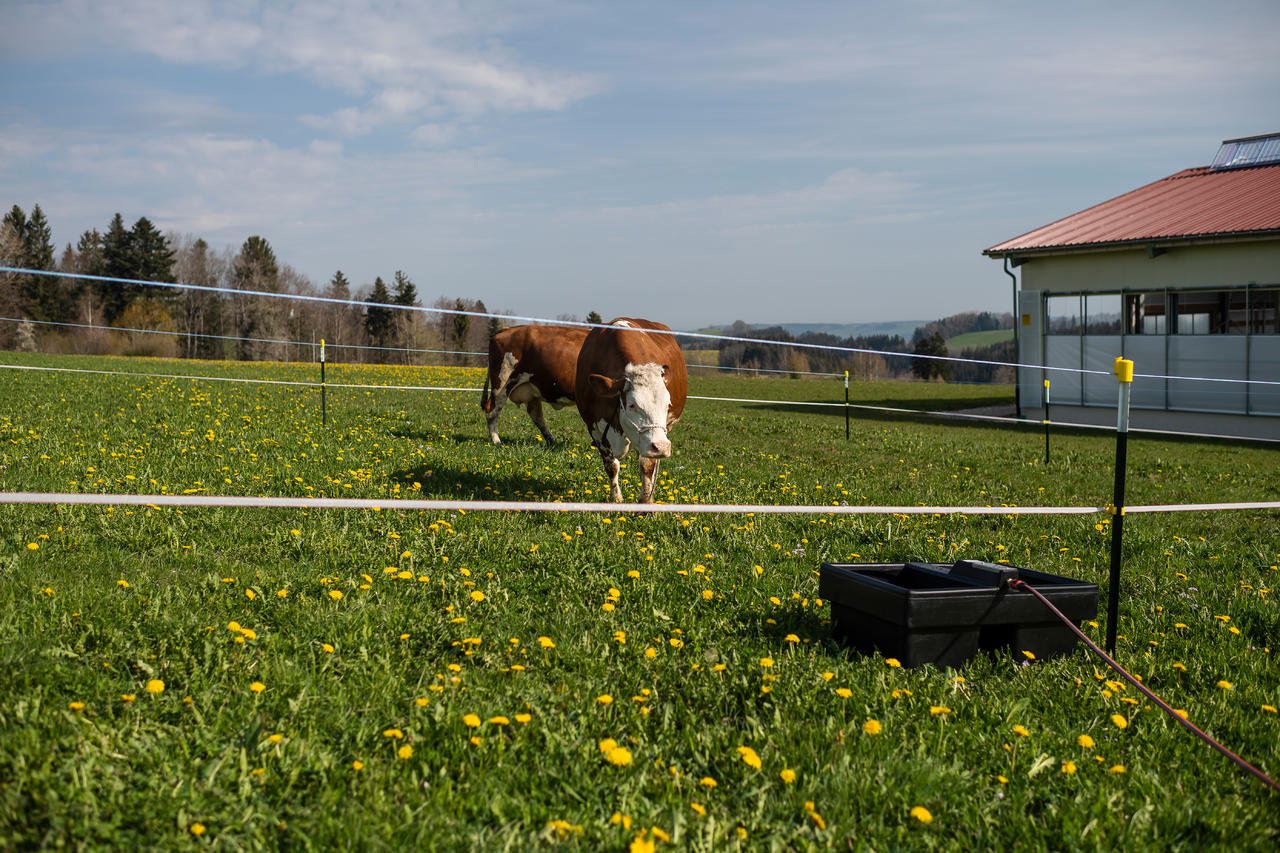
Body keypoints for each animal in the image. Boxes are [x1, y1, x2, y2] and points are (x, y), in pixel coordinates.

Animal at [576, 318, 686, 504]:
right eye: (632, 405)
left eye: (667, 404)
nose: (662, 447)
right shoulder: (594, 428)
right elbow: (611, 466)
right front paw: (616, 498)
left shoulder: (649, 440)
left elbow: (647, 466)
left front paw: (646, 501)